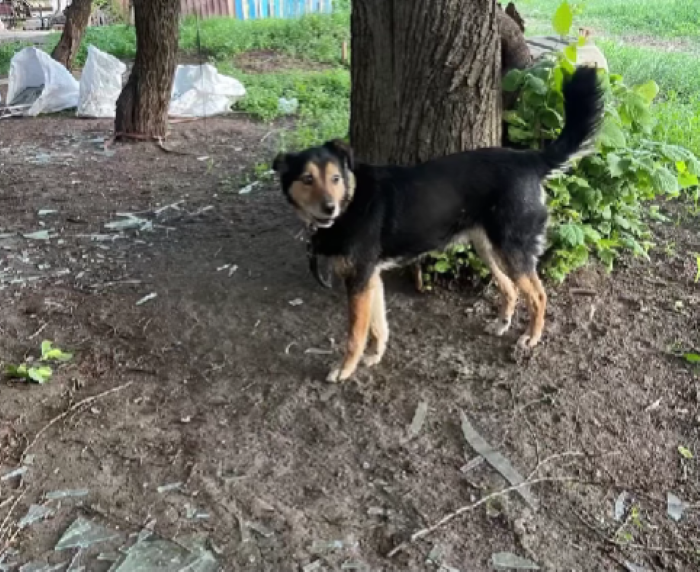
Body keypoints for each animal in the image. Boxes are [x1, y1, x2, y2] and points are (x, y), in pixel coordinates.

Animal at [276, 67, 604, 382]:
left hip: (513, 247)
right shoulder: (371, 278)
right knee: (509, 287)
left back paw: (530, 338)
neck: (352, 198)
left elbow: (355, 334)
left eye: (335, 178)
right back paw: (502, 323)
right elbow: (379, 325)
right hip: (487, 246)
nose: (329, 207)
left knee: (538, 295)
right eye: (307, 178)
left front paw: (345, 370)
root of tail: (530, 160)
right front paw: (375, 356)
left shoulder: (358, 280)